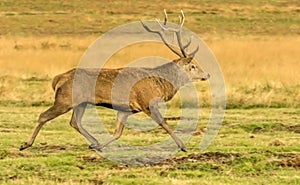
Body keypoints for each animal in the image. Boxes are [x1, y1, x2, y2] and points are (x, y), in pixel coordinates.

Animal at [19, 9, 210, 152]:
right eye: (193, 66)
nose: (206, 74)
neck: (161, 86)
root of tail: (58, 79)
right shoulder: (147, 102)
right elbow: (165, 123)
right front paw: (183, 146)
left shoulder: (126, 109)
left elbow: (118, 132)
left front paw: (99, 146)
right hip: (64, 99)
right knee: (44, 116)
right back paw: (25, 144)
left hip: (80, 102)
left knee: (74, 122)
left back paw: (94, 142)